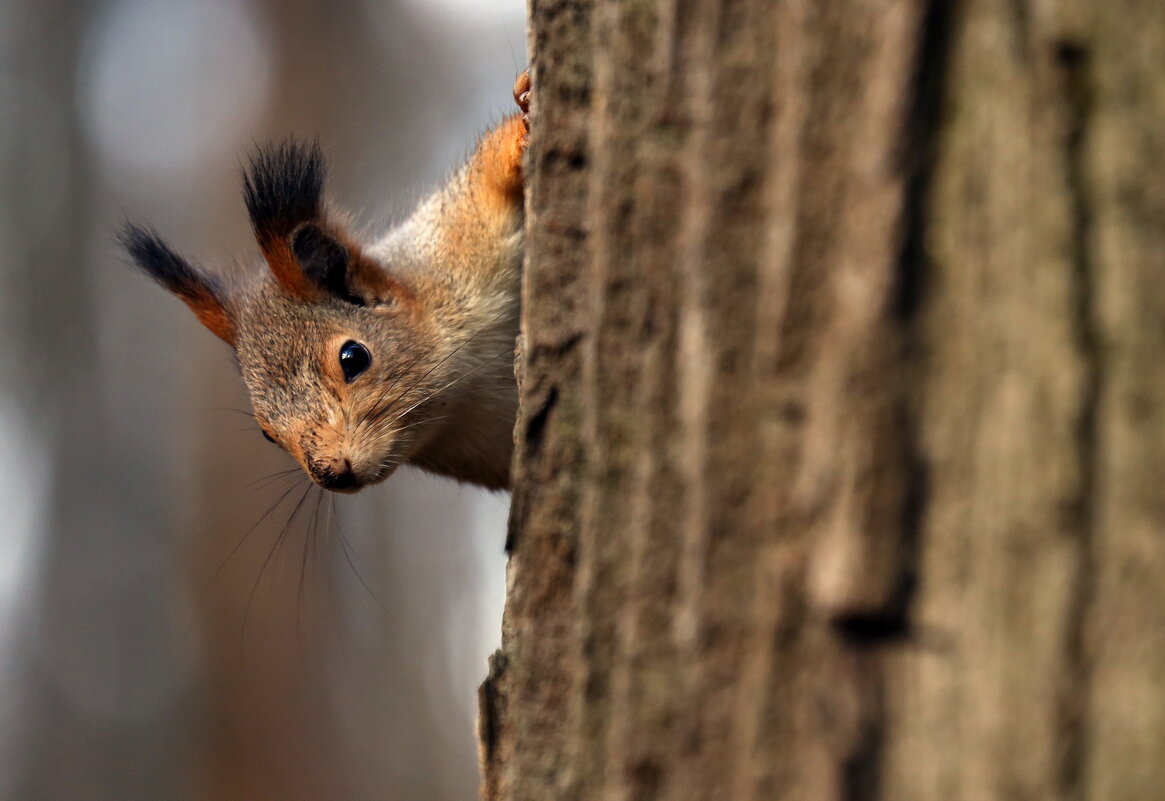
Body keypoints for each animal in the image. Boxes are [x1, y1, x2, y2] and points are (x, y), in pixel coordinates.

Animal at [121, 70, 533, 493]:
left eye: (354, 357)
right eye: (267, 432)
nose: (332, 475)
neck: (462, 393)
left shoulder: (455, 242)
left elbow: (486, 176)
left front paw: (522, 117)